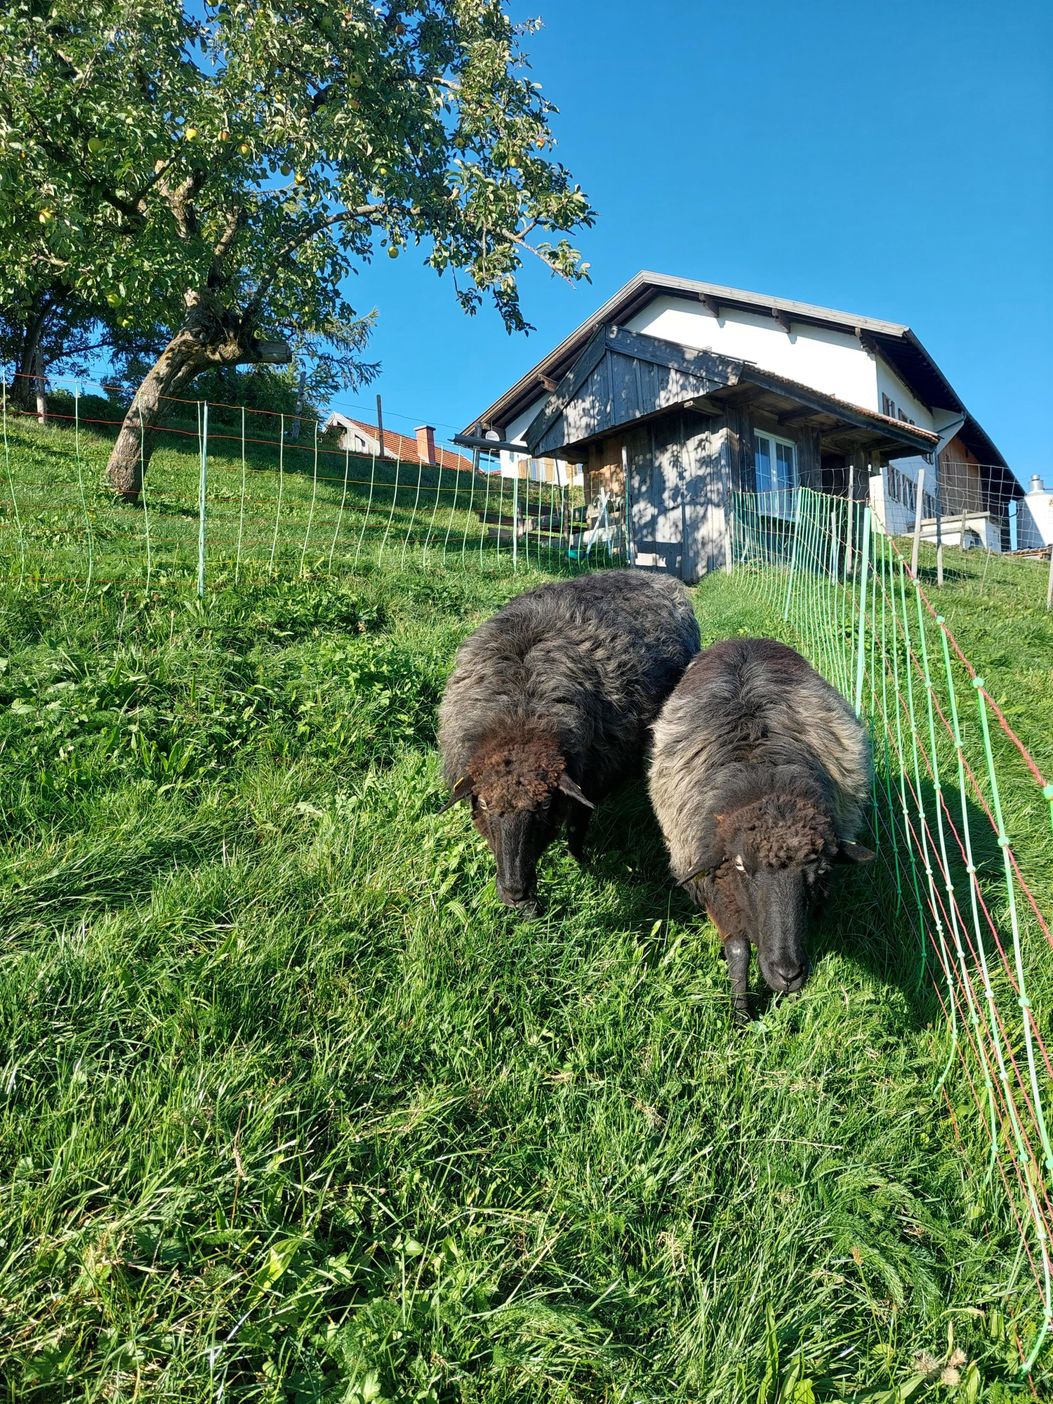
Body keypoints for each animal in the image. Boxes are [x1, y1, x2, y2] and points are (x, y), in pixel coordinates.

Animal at [438, 570, 700, 915]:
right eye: (482, 803)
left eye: (546, 804)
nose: (515, 893)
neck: (519, 717)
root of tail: (651, 573)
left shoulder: (592, 777)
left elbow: (578, 825)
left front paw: (577, 860)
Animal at [648, 637, 874, 1018]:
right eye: (740, 866)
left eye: (821, 869)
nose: (788, 973)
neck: (761, 774)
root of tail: (744, 640)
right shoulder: (716, 884)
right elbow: (738, 951)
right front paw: (741, 1014)